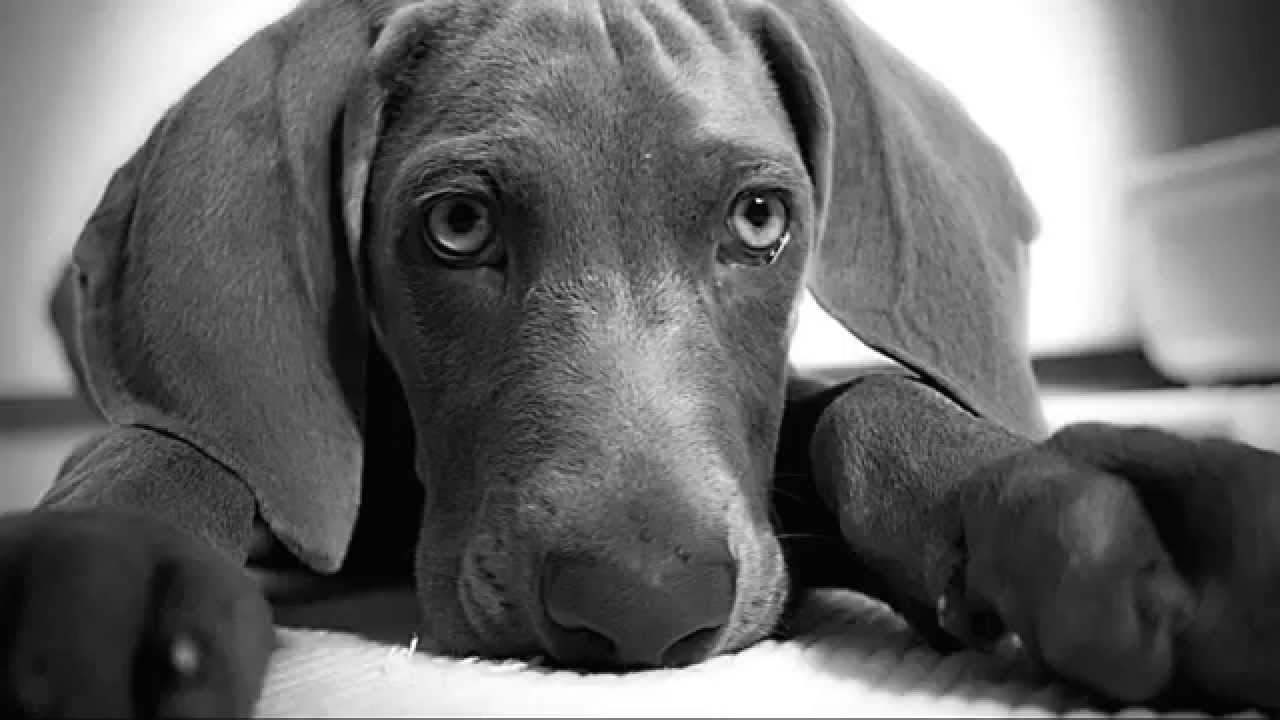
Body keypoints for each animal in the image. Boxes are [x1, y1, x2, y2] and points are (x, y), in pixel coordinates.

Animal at [6, 0, 1280, 716]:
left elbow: (861, 400)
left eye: (760, 219)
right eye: (456, 224)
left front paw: (1065, 489)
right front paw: (91, 569)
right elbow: (166, 444)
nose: (642, 607)